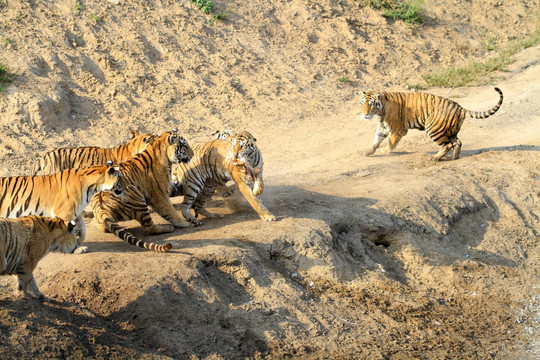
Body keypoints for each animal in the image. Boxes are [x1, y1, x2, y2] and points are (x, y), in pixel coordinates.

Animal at [358, 87, 502, 160]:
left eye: (371, 104)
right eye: (362, 103)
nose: (364, 114)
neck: (380, 111)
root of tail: (461, 108)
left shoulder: (397, 129)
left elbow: (391, 142)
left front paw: (386, 150)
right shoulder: (382, 126)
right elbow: (376, 140)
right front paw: (368, 152)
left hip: (434, 129)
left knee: (448, 145)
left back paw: (434, 157)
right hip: (450, 131)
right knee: (457, 143)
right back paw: (455, 157)